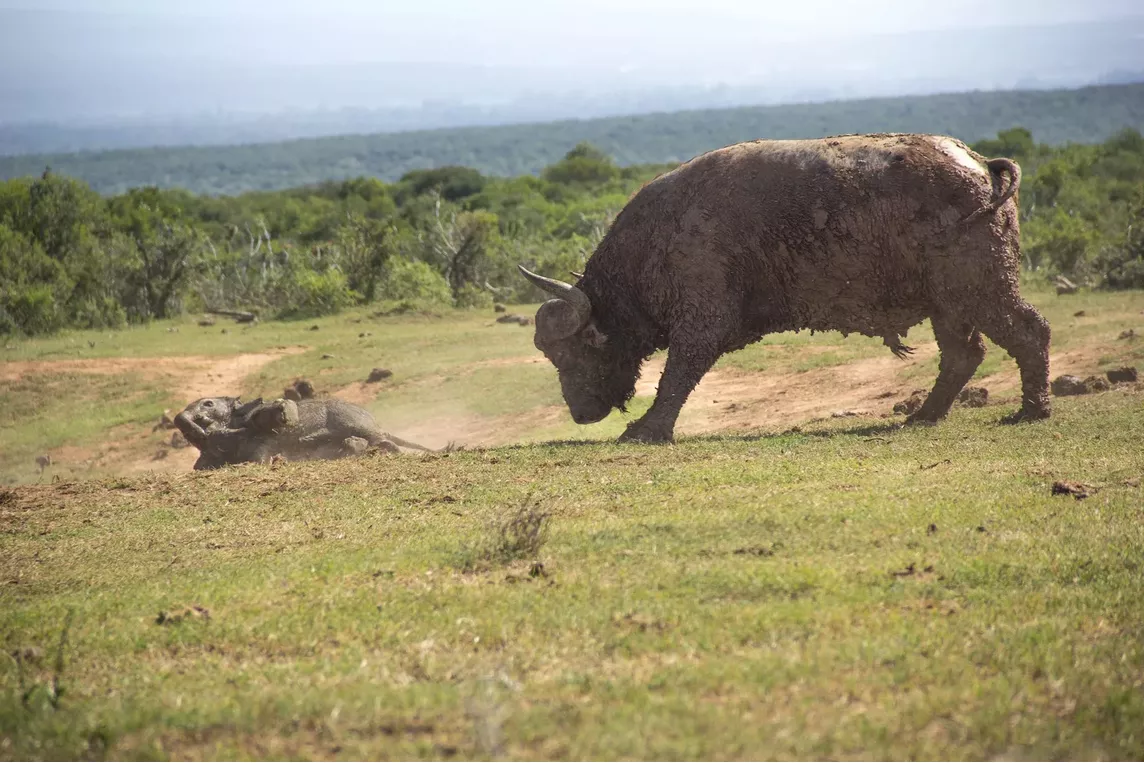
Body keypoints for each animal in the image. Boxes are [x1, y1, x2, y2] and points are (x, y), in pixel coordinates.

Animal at [523, 131, 1047, 441]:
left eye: (577, 350)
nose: (580, 414)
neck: (657, 237)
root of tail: (982, 164)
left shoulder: (702, 322)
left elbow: (676, 375)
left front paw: (647, 429)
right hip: (948, 302)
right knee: (964, 355)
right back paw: (923, 415)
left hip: (981, 288)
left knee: (1029, 331)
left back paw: (1031, 411)